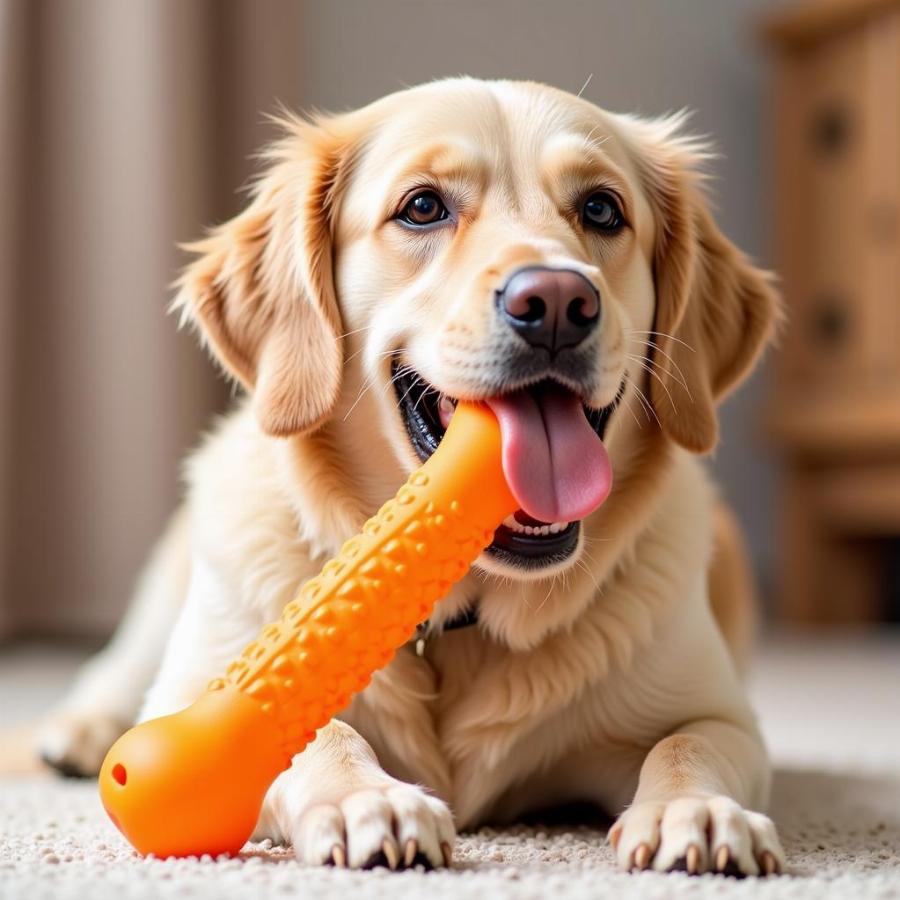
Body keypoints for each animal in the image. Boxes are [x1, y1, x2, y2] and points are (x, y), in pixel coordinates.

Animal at [33, 81, 780, 876]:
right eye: (423, 206)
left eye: (603, 209)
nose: (556, 302)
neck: (459, 620)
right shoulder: (196, 686)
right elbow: (309, 733)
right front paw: (368, 799)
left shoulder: (719, 714)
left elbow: (687, 743)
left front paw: (698, 812)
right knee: (116, 666)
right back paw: (75, 732)